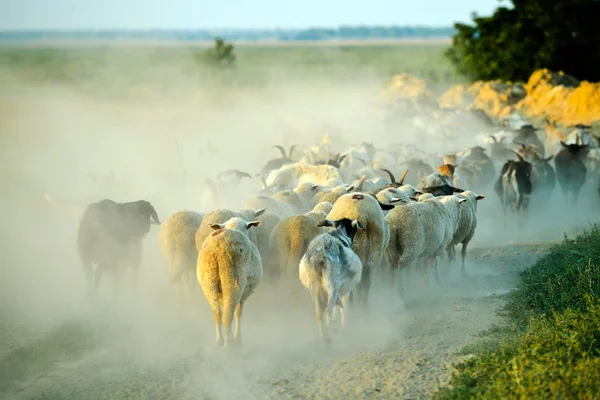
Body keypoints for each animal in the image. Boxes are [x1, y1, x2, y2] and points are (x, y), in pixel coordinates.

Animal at [197, 217, 262, 346]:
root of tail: (218, 246)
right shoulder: (243, 294)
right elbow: (238, 313)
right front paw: (237, 338)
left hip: (209, 281)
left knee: (218, 313)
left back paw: (219, 341)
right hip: (233, 279)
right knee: (228, 315)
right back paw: (228, 344)